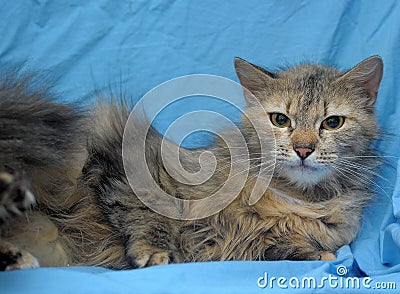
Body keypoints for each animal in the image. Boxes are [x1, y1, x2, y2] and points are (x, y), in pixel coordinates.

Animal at [0, 55, 382, 268]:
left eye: (332, 123)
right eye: (280, 120)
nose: (303, 150)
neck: (294, 200)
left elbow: (284, 245)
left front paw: (314, 253)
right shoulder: (131, 162)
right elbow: (147, 216)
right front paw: (153, 252)